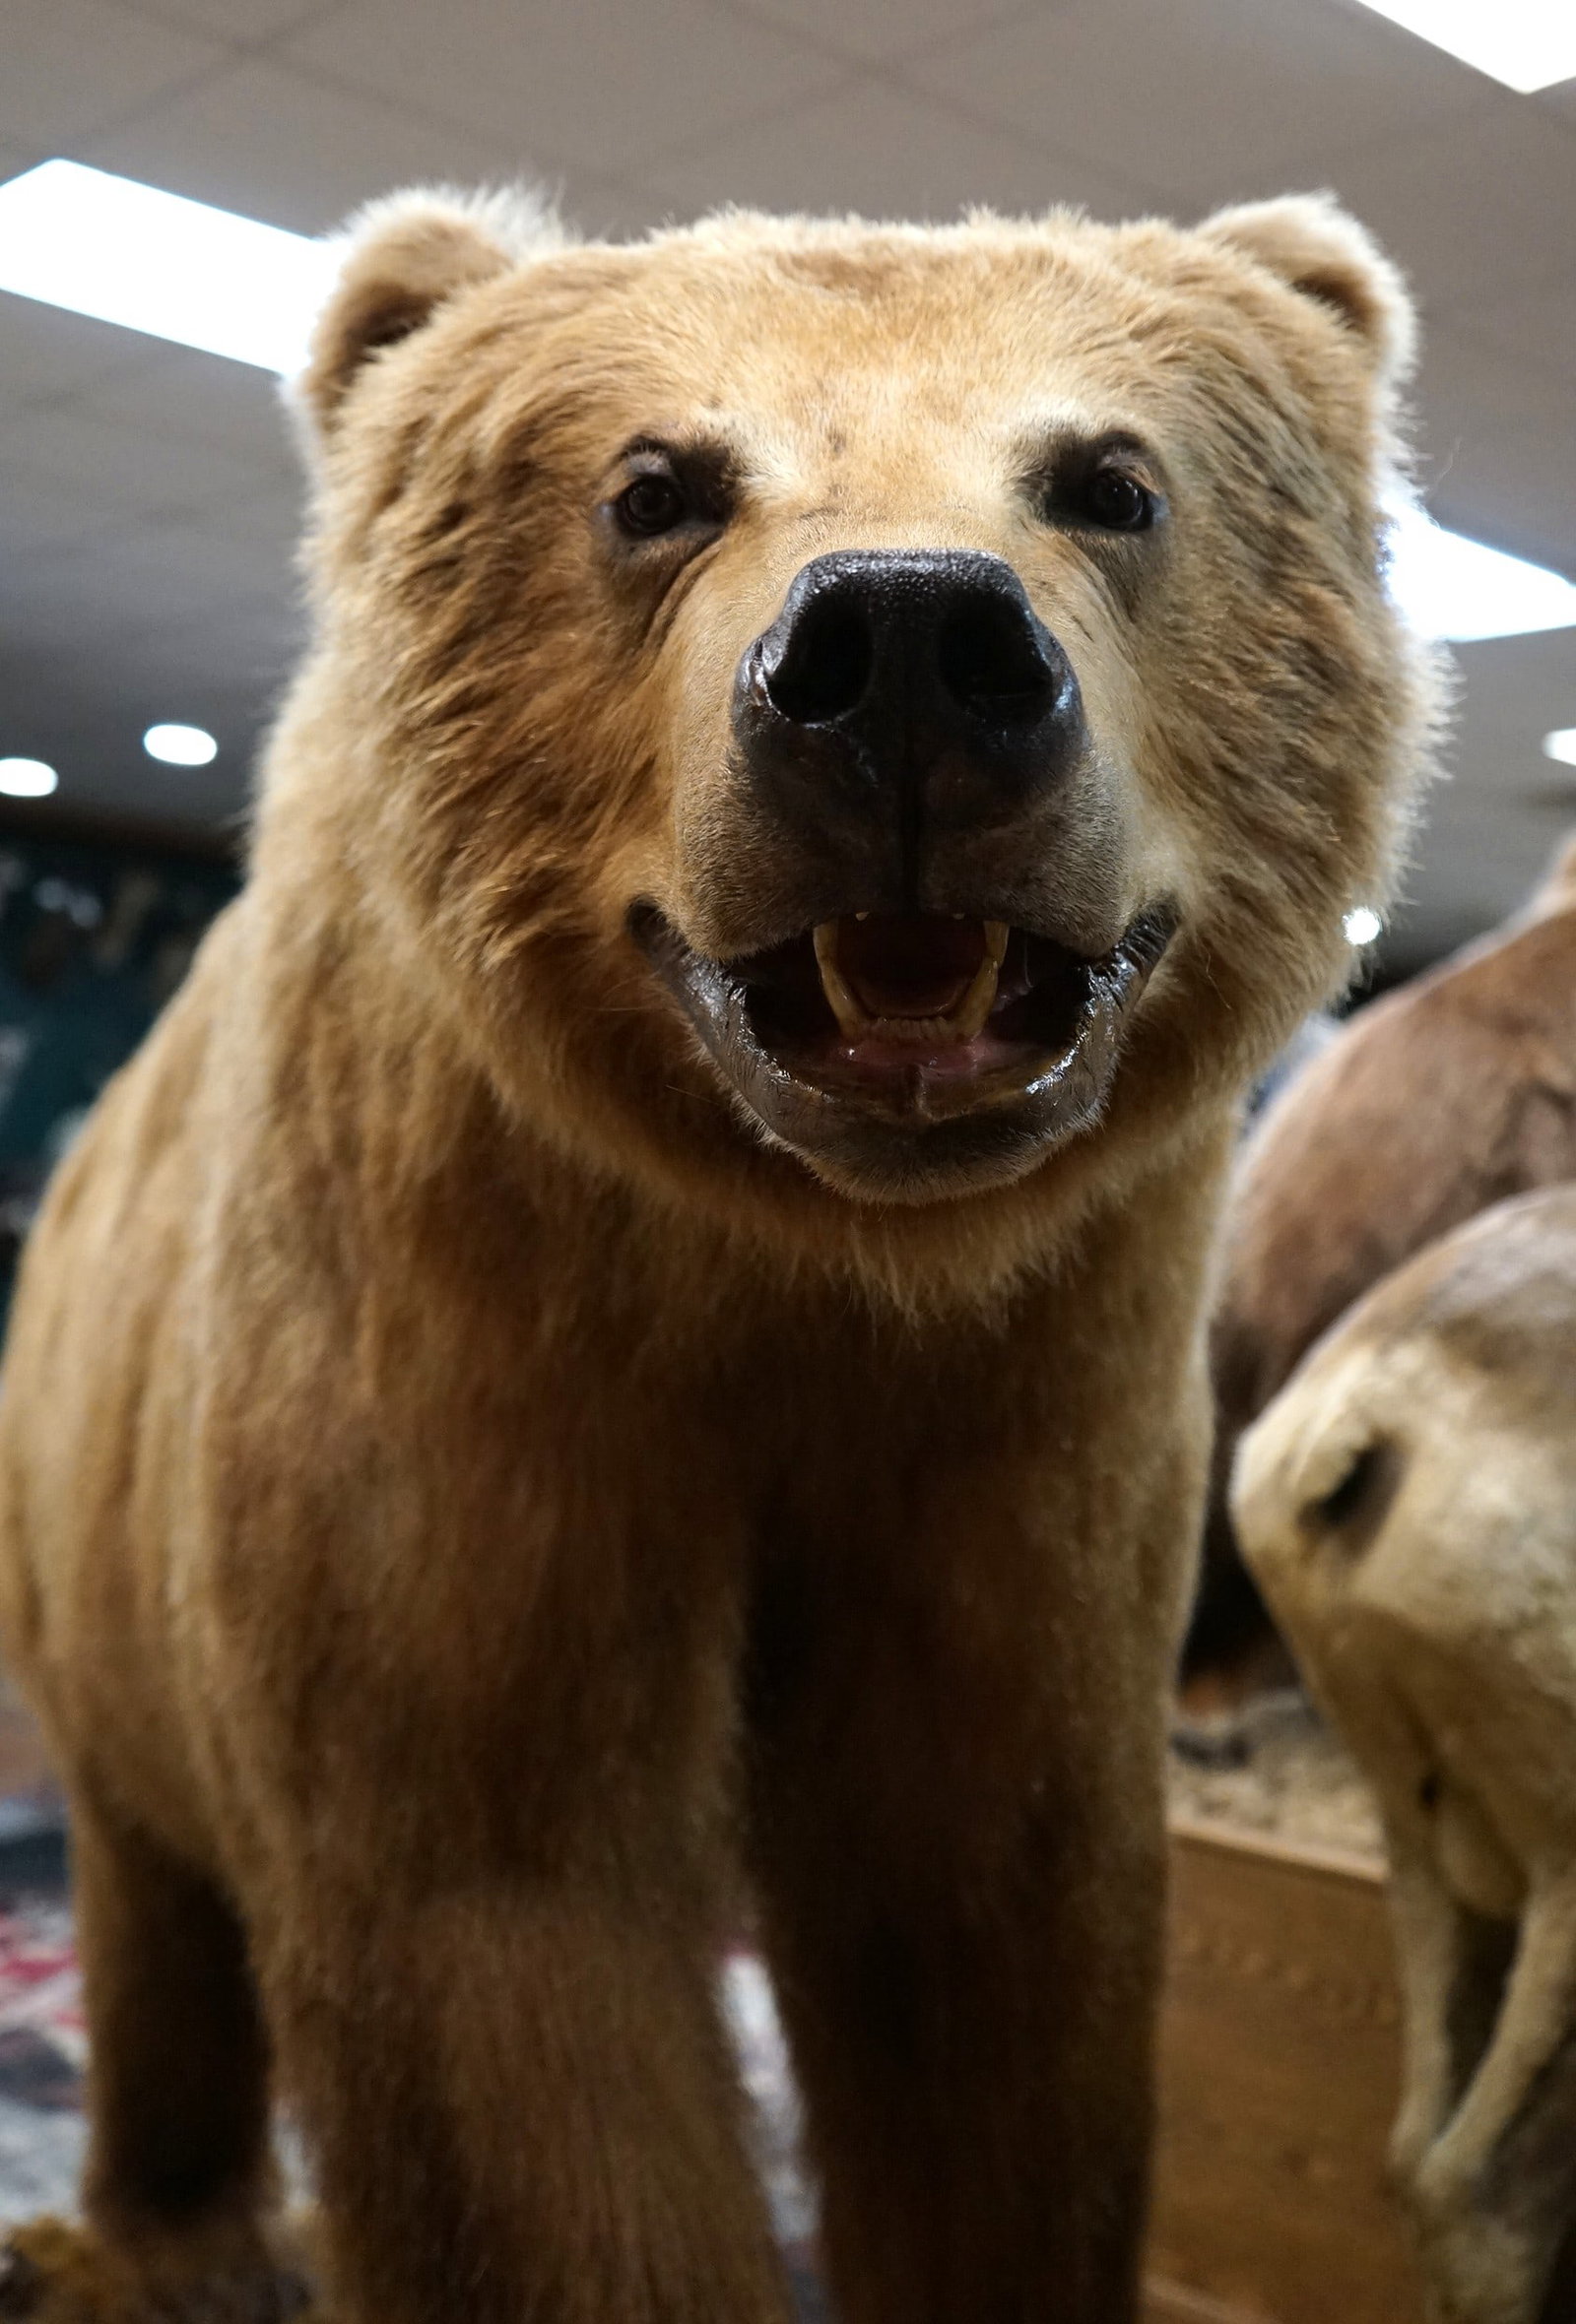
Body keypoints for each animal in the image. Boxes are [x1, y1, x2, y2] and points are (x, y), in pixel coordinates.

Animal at [0, 186, 1434, 2324]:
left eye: (1111, 479)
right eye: (653, 485)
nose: (911, 644)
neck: (792, 1249)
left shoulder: (1033, 1423)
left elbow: (991, 1948)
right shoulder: (450, 1349)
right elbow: (502, 1934)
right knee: (150, 1868)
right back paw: (161, 2245)